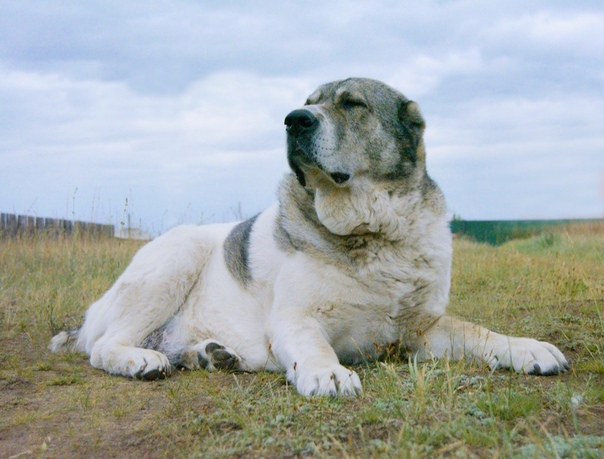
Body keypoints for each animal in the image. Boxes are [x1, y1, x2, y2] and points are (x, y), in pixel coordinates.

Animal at [49, 78, 568, 396]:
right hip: (176, 256)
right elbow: (315, 346)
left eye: (353, 104)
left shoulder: (423, 327)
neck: (373, 232)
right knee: (103, 345)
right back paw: (140, 359)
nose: (294, 119)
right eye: (309, 99)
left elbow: (480, 332)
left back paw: (211, 354)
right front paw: (328, 372)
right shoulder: (296, 320)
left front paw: (527, 348)